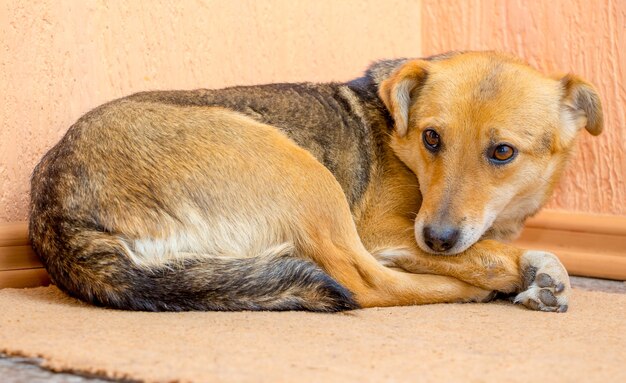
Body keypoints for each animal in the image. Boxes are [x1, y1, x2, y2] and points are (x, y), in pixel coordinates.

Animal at [28, 52, 600, 314]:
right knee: (367, 283)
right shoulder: (386, 230)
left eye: (502, 152)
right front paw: (530, 268)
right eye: (432, 138)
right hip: (302, 170)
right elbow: (481, 254)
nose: (436, 238)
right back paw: (471, 290)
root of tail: (55, 214)